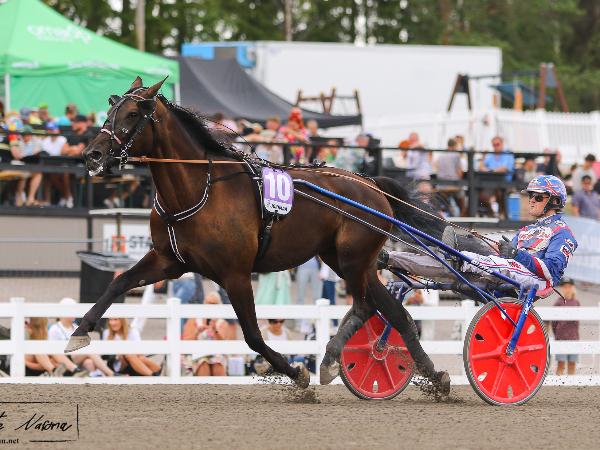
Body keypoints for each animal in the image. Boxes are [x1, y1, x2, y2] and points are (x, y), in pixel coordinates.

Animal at [66, 76, 450, 393]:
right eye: (110, 109)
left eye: (132, 114)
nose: (92, 154)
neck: (198, 189)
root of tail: (372, 184)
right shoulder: (168, 261)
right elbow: (118, 283)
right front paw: (79, 333)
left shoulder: (235, 273)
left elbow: (251, 334)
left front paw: (297, 374)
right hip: (346, 261)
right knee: (393, 313)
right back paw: (430, 375)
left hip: (354, 260)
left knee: (368, 306)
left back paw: (337, 360)